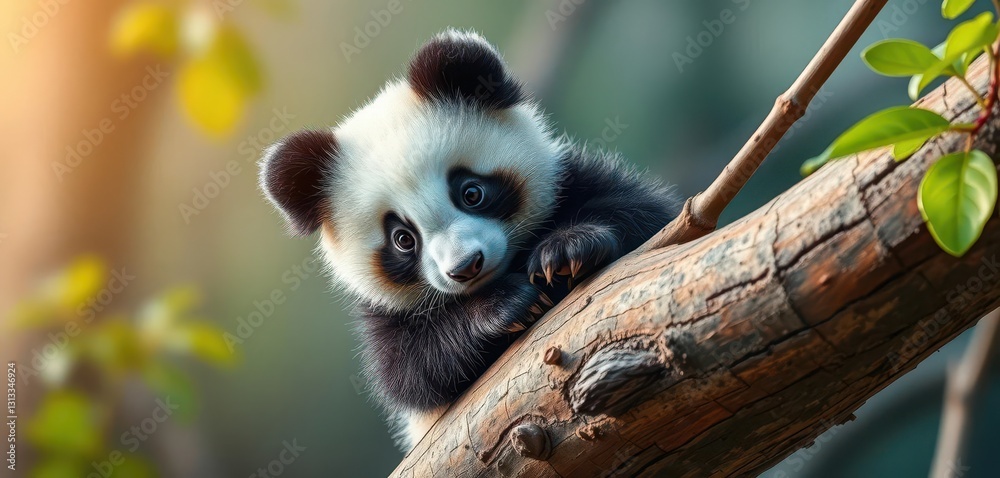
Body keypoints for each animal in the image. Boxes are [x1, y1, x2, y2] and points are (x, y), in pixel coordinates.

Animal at [259, 29, 680, 451]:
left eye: (471, 192)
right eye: (402, 239)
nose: (466, 267)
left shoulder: (571, 181)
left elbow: (647, 216)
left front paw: (567, 251)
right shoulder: (385, 318)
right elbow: (411, 370)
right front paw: (506, 305)